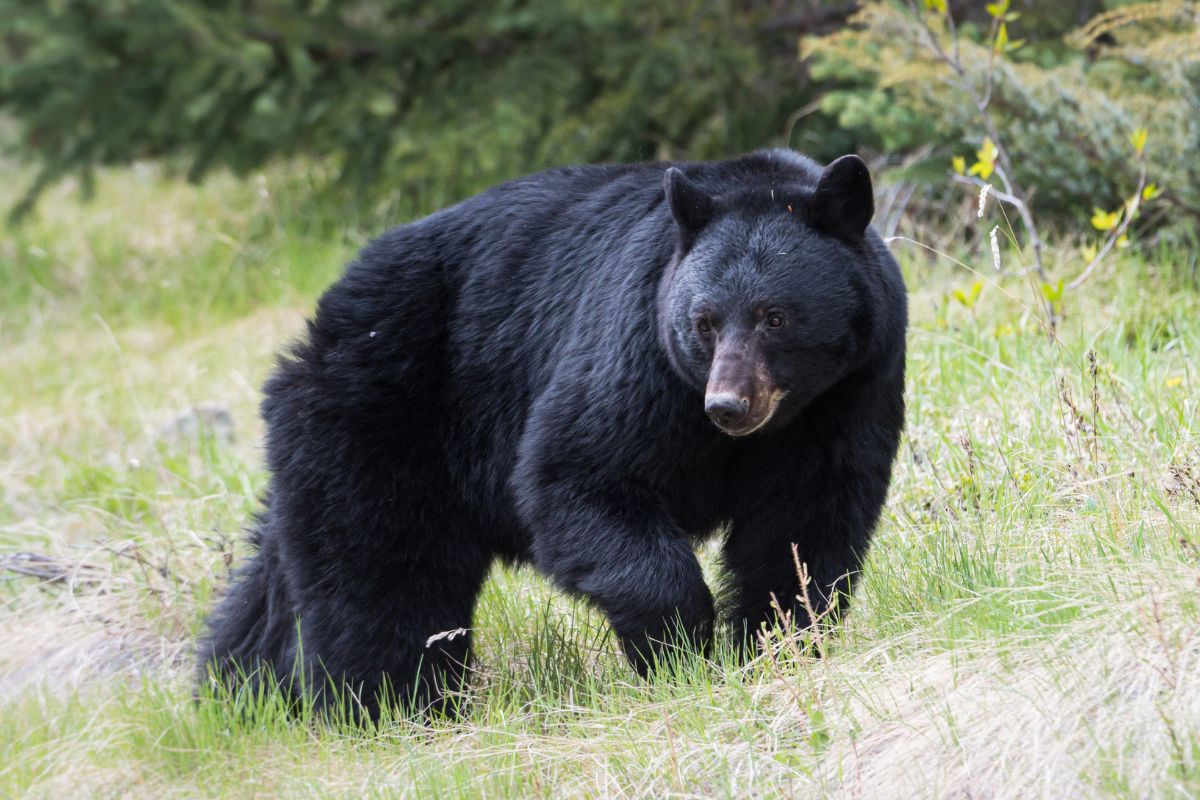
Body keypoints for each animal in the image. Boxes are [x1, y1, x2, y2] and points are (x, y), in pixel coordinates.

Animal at [198, 149, 907, 719]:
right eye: (704, 321)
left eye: (774, 316)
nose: (727, 405)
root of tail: (322, 320)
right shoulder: (637, 355)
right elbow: (579, 475)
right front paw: (680, 646)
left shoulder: (850, 389)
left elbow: (803, 522)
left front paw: (776, 643)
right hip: (377, 416)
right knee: (378, 569)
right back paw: (387, 705)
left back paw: (239, 681)